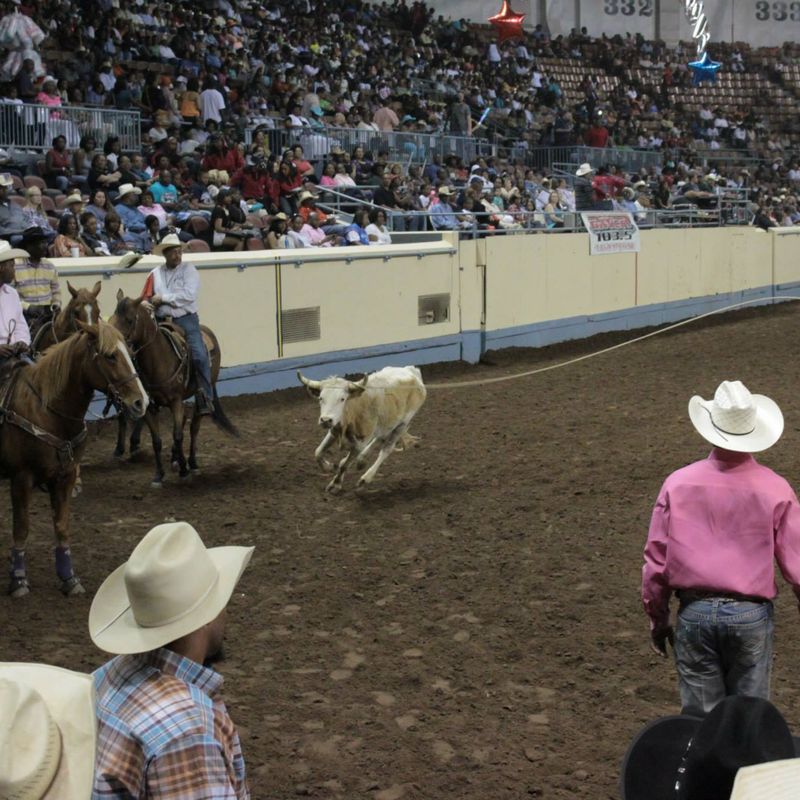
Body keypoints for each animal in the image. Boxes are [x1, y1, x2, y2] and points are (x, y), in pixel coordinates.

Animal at [2, 322, 148, 596]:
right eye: (110, 356)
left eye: (129, 351)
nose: (141, 402)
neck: (47, 411)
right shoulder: (21, 477)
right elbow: (21, 527)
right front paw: (18, 580)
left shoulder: (66, 476)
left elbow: (62, 526)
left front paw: (69, 578)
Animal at [109, 290, 236, 484]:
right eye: (112, 318)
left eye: (129, 320)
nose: (114, 347)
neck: (159, 360)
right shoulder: (149, 406)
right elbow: (157, 440)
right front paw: (159, 474)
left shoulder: (176, 401)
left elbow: (177, 436)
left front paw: (183, 468)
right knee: (184, 422)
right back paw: (176, 459)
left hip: (201, 393)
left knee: (193, 426)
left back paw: (192, 463)